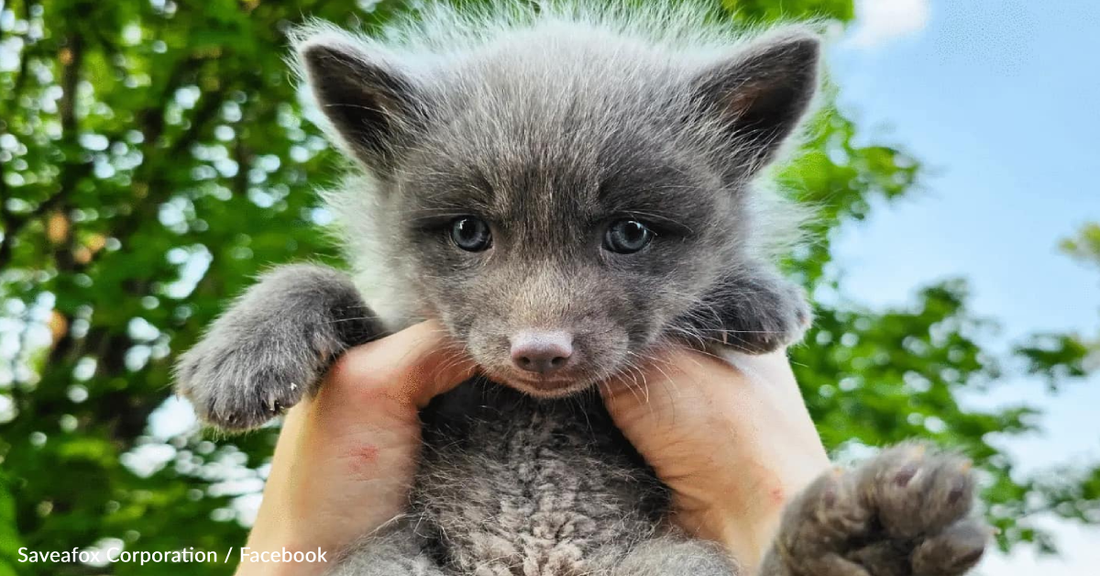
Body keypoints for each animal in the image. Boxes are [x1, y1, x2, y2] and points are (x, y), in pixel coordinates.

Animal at [175, 2, 990, 575]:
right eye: (469, 232)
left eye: (629, 234)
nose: (542, 353)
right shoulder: (397, 329)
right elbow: (311, 276)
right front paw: (241, 353)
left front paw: (752, 293)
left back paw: (867, 545)